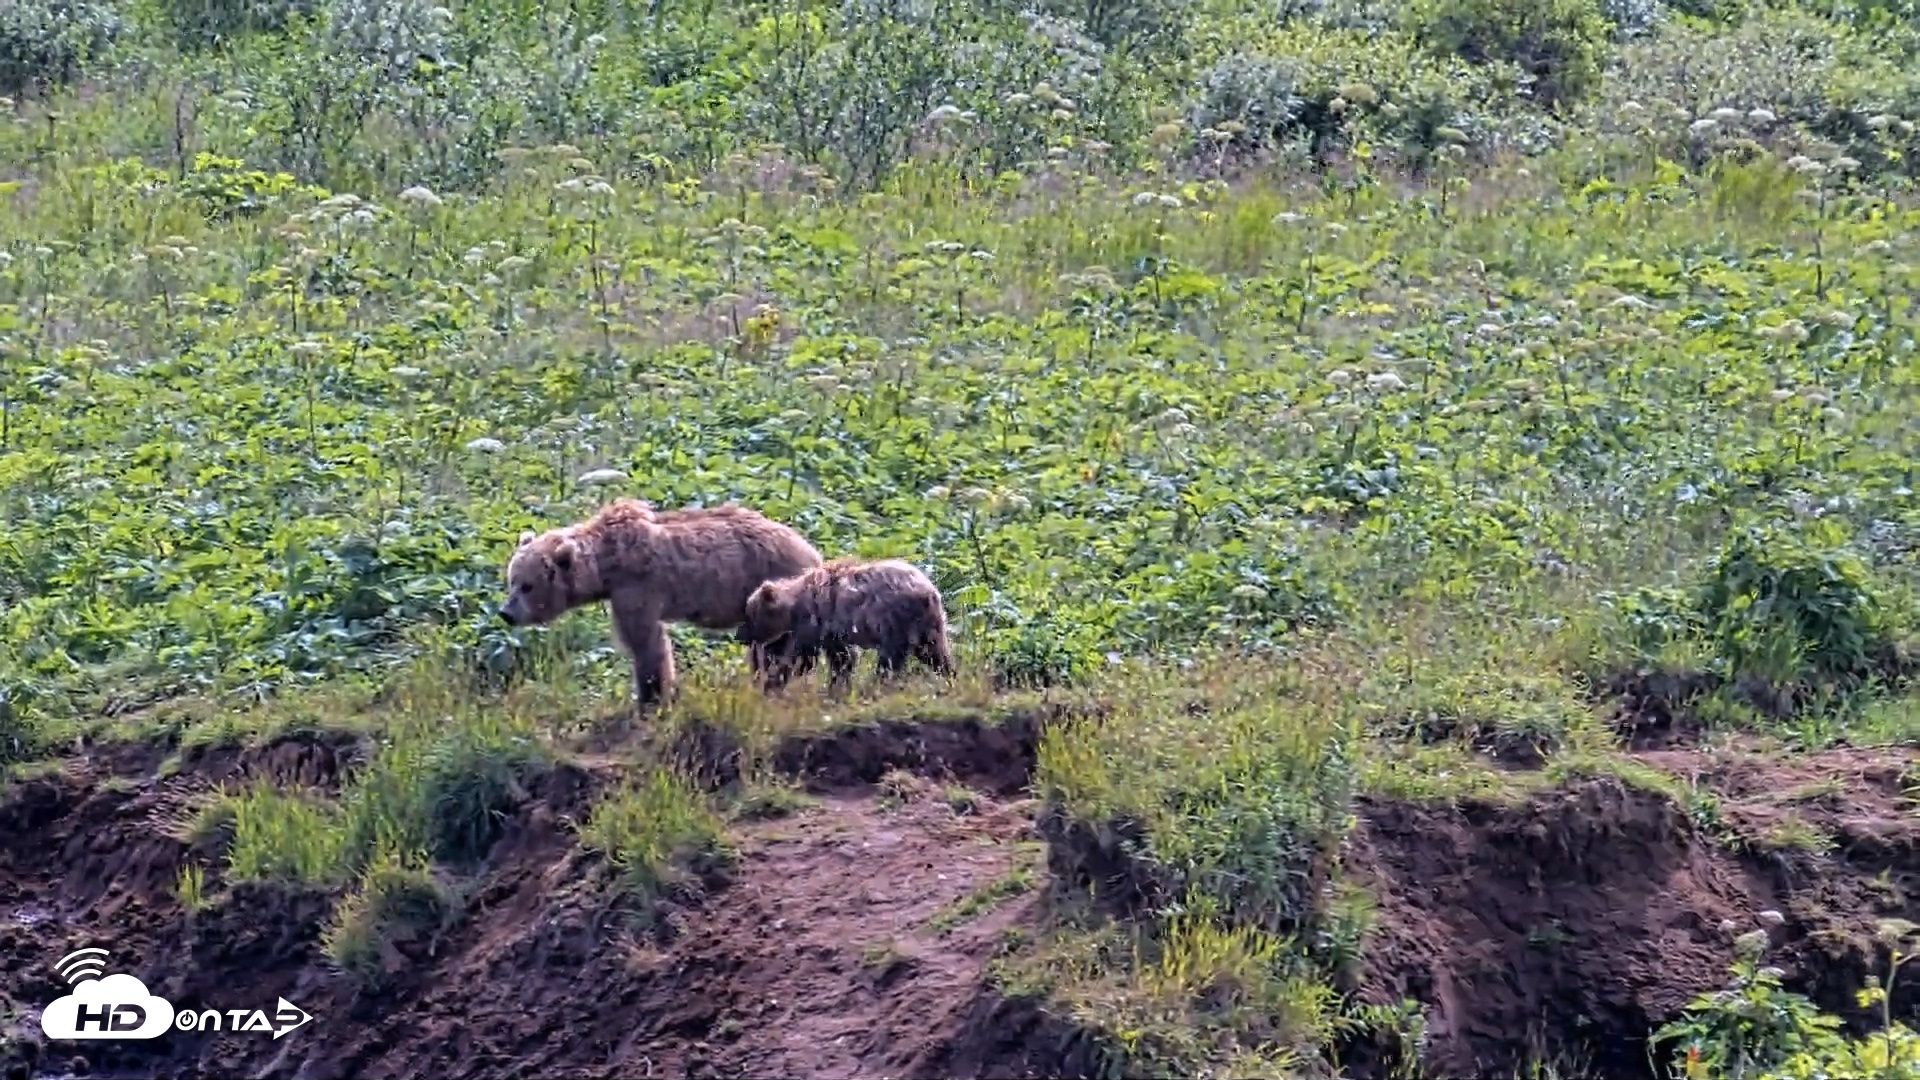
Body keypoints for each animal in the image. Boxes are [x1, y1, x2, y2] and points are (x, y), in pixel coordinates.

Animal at [496, 497, 824, 707]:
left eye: (527, 586)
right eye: (511, 581)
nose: (506, 612)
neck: (606, 564)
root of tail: (813, 552)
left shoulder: (637, 588)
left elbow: (645, 641)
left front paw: (651, 695)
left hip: (775, 588)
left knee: (777, 646)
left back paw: (774, 679)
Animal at [733, 556, 955, 695]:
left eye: (749, 615)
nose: (739, 635)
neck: (794, 606)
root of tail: (928, 591)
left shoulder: (819, 622)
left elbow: (811, 656)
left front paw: (777, 681)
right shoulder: (831, 629)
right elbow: (842, 657)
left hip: (895, 620)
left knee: (891, 657)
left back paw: (878, 681)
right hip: (930, 623)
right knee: (934, 651)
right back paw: (949, 674)